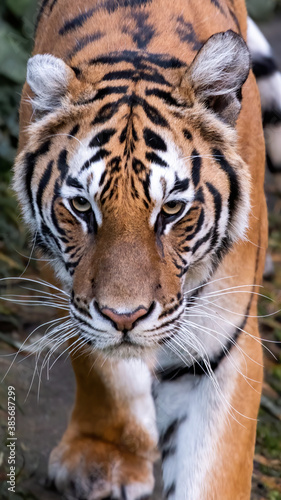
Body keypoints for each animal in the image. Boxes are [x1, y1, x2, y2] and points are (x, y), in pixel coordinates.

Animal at [12, 0, 274, 498]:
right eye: (81, 206)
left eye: (171, 209)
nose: (124, 318)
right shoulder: (72, 291)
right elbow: (105, 368)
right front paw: (106, 458)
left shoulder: (223, 345)